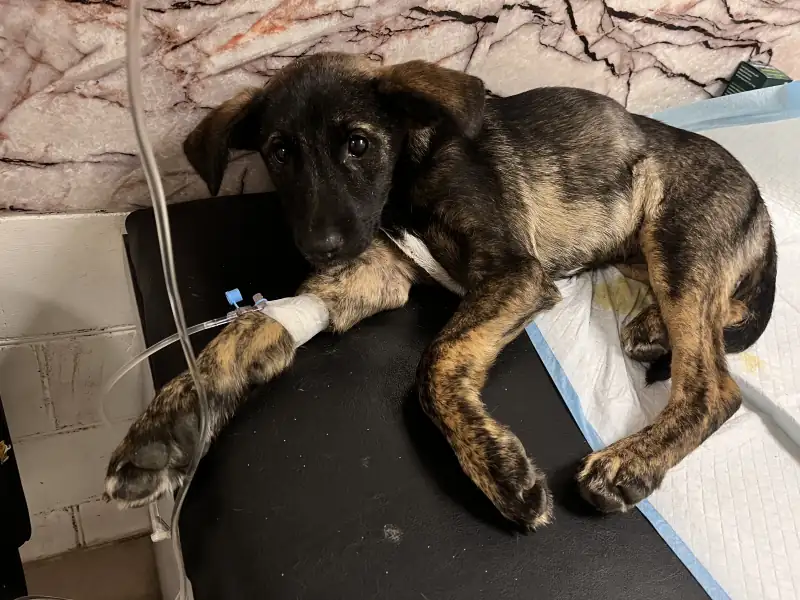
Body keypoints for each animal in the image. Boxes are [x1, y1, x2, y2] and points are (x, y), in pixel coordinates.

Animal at [104, 53, 777, 529]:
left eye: (358, 143)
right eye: (279, 153)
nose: (321, 248)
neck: (408, 171)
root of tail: (758, 201)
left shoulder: (513, 273)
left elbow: (437, 361)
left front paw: (495, 466)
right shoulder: (374, 272)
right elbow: (252, 325)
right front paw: (160, 431)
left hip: (677, 242)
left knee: (713, 383)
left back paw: (629, 464)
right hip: (645, 254)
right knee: (721, 312)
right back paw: (652, 330)